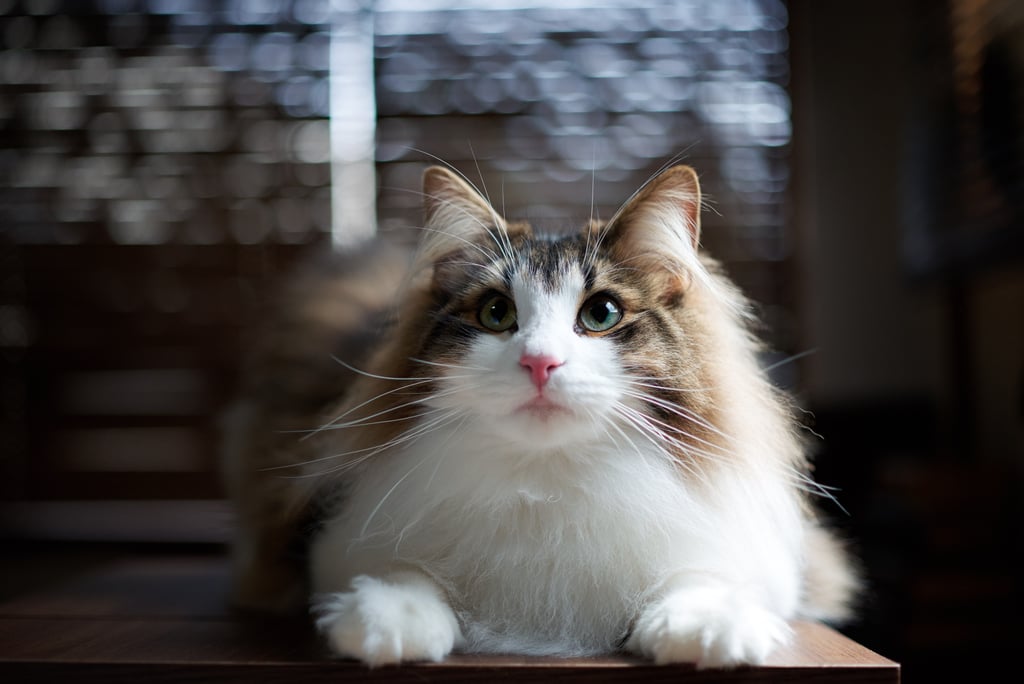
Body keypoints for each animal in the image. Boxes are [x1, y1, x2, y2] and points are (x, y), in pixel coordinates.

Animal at [220, 163, 860, 667]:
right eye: (496, 314)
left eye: (601, 314)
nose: (540, 363)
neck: (549, 482)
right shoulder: (323, 540)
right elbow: (403, 573)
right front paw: (389, 620)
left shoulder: (771, 559)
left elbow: (705, 576)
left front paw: (706, 627)